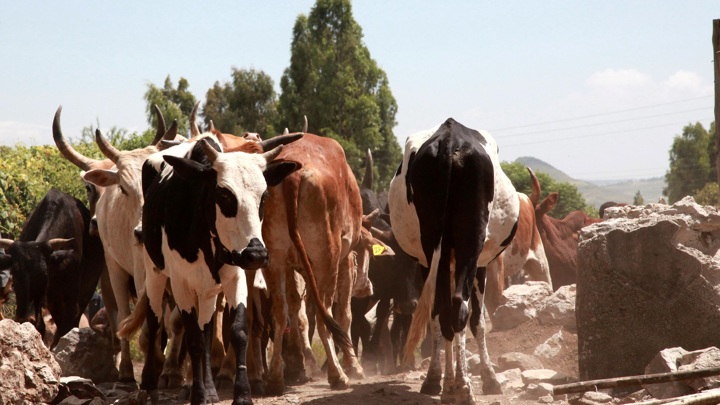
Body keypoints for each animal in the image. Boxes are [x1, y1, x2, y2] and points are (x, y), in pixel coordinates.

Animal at [0, 188, 105, 346]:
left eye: (44, 276)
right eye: (15, 277)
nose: (24, 318)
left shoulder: (71, 296)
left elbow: (65, 328)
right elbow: (40, 327)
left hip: (85, 293)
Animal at [119, 134, 300, 402]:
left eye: (264, 195)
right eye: (224, 195)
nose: (256, 254)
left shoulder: (235, 278)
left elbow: (236, 332)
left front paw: (241, 394)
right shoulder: (181, 284)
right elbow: (193, 339)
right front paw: (197, 394)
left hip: (206, 290)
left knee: (206, 328)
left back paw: (210, 389)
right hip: (155, 273)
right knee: (154, 322)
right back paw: (150, 387)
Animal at [388, 118, 516, 402]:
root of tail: (449, 141)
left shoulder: (430, 263)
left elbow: (441, 318)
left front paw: (443, 378)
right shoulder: (480, 264)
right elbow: (478, 321)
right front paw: (487, 378)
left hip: (435, 250)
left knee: (444, 311)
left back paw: (447, 385)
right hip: (469, 245)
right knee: (458, 309)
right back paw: (461, 387)